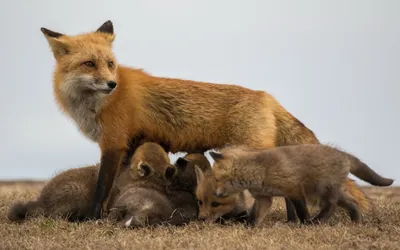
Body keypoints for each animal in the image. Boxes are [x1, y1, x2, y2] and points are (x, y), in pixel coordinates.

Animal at [39, 20, 368, 220]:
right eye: (89, 64)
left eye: (110, 64)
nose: (112, 83)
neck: (96, 104)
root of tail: (266, 96)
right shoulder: (129, 146)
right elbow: (119, 183)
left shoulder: (113, 143)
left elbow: (101, 188)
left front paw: (93, 218)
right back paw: (295, 221)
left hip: (252, 151)